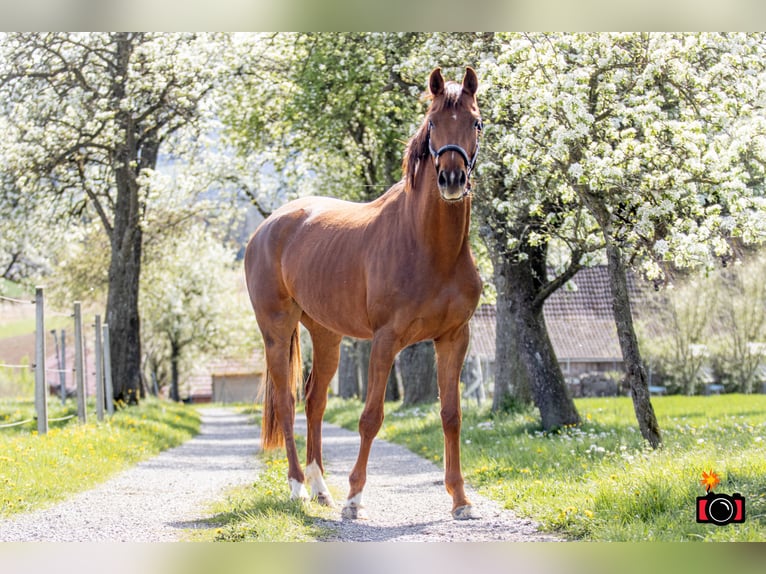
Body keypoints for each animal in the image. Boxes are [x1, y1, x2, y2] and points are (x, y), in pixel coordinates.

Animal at [246, 67, 486, 520]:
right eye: (432, 123)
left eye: (476, 123)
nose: (451, 179)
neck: (430, 247)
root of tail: (267, 228)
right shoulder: (385, 340)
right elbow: (371, 417)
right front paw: (355, 499)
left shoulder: (454, 338)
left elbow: (451, 415)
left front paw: (461, 500)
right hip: (277, 331)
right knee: (287, 403)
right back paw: (298, 488)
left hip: (326, 334)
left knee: (315, 401)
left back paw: (321, 488)